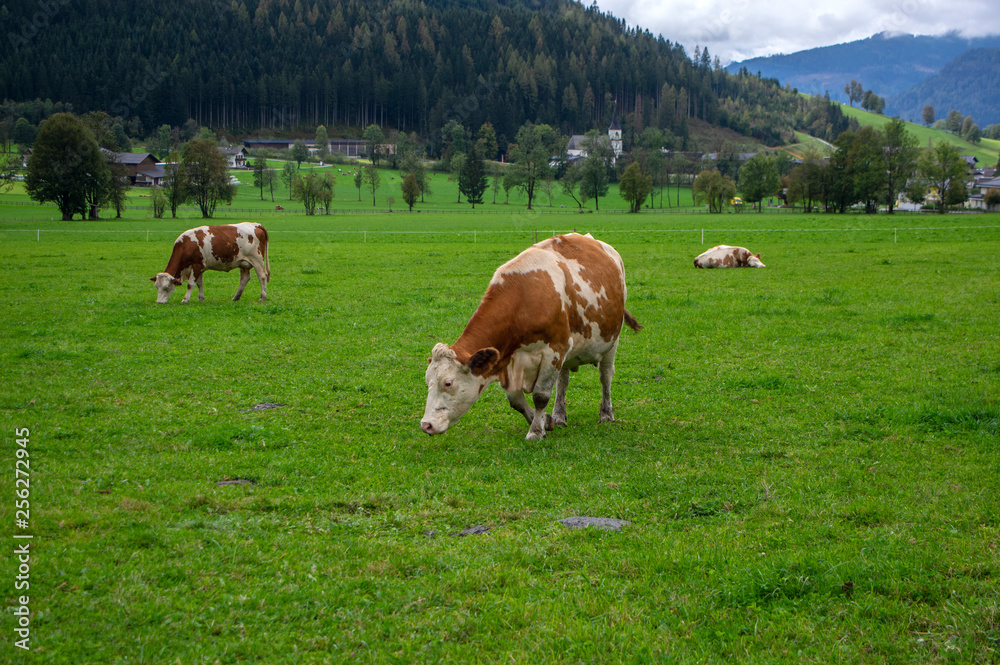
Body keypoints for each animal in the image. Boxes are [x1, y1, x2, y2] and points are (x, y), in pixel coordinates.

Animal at [420, 231, 640, 438]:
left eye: (448, 383)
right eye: (427, 380)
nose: (426, 425)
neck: (523, 299)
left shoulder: (554, 350)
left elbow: (540, 396)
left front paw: (535, 431)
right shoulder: (509, 361)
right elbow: (516, 400)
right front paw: (545, 421)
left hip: (611, 341)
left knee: (605, 376)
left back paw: (606, 414)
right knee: (563, 381)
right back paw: (559, 415)